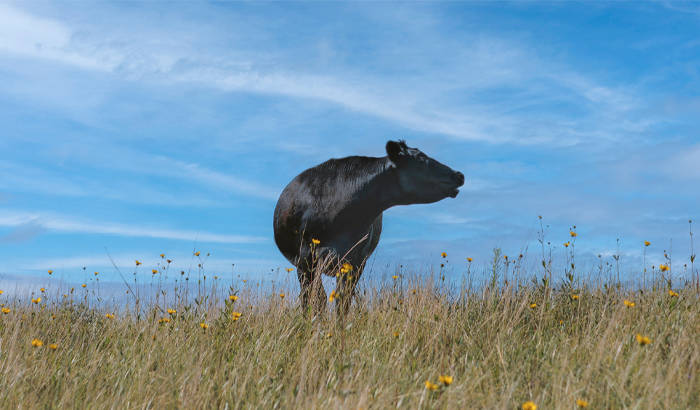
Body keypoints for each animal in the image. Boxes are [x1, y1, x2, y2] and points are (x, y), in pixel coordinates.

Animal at [273, 140, 464, 314]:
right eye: (421, 158)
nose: (459, 175)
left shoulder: (355, 260)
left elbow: (342, 302)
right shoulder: (305, 257)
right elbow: (313, 300)